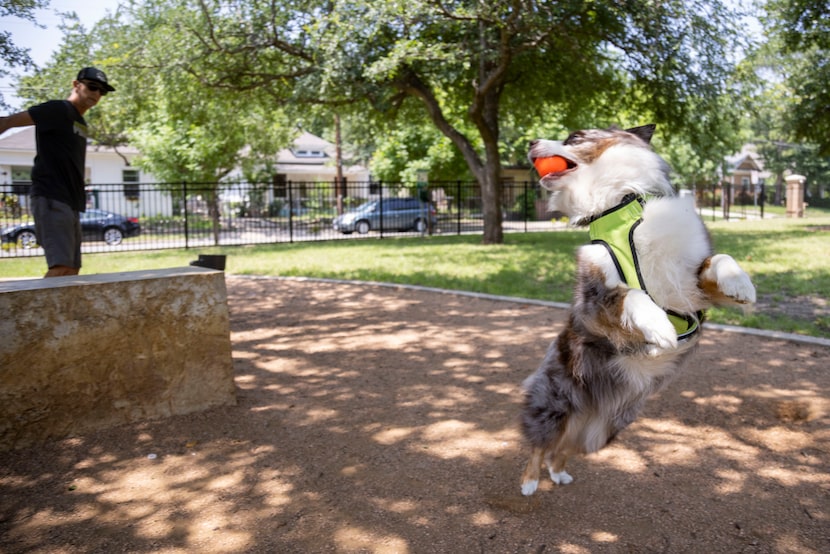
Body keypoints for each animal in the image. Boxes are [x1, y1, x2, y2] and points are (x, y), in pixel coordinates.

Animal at [524, 126, 756, 496]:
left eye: (574, 137)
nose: (530, 142)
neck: (619, 211)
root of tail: (593, 406)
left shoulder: (692, 284)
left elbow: (719, 259)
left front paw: (741, 285)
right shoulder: (593, 301)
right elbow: (631, 294)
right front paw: (658, 326)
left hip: (603, 430)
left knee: (563, 448)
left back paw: (558, 473)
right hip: (554, 406)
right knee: (539, 445)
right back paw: (530, 482)